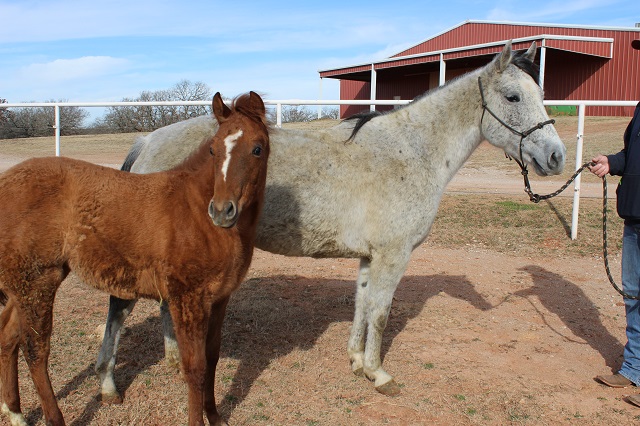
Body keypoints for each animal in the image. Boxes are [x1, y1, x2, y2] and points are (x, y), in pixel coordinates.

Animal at [94, 41, 564, 402]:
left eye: (540, 94)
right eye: (513, 97)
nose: (556, 157)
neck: (410, 151)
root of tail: (149, 140)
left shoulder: (370, 257)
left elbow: (362, 305)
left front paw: (356, 361)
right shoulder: (393, 255)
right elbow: (381, 313)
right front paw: (379, 374)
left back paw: (175, 361)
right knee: (119, 307)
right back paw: (108, 387)